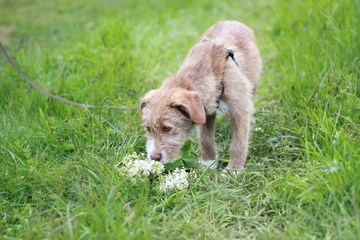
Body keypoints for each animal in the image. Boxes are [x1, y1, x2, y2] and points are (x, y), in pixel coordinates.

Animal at [141, 20, 262, 171]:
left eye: (166, 128)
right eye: (148, 128)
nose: (154, 157)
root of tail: (233, 21)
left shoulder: (240, 109)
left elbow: (238, 142)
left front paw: (233, 169)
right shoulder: (205, 112)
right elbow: (205, 138)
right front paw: (208, 161)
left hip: (252, 87)